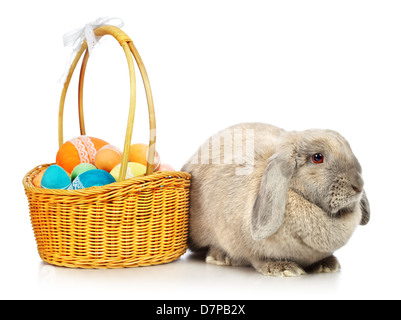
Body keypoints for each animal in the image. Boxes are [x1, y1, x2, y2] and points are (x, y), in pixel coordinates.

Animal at [181, 122, 368, 278]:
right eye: (318, 157)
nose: (358, 186)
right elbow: (257, 258)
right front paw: (283, 268)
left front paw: (327, 265)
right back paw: (222, 257)